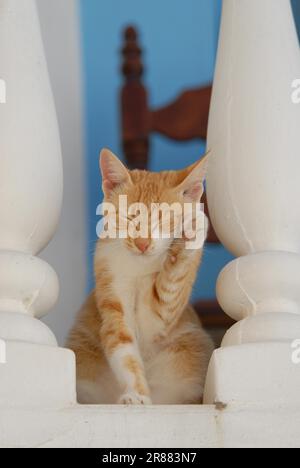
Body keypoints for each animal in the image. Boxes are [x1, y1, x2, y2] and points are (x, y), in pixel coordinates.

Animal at [67, 149, 214, 402]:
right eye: (128, 217)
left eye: (164, 219)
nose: (142, 243)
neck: (139, 267)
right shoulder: (112, 289)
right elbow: (123, 348)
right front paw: (136, 394)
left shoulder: (159, 319)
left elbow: (170, 289)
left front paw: (192, 233)